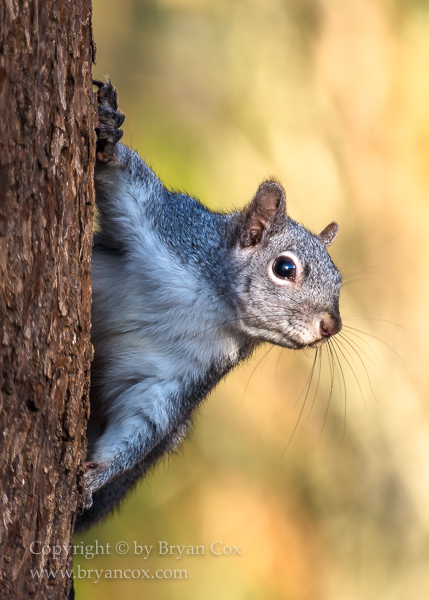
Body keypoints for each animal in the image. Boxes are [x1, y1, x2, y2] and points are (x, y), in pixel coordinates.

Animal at [73, 78, 342, 528]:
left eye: (340, 282)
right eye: (285, 268)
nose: (332, 326)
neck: (212, 306)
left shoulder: (182, 375)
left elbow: (145, 423)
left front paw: (95, 475)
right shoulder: (165, 223)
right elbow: (124, 177)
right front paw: (108, 131)